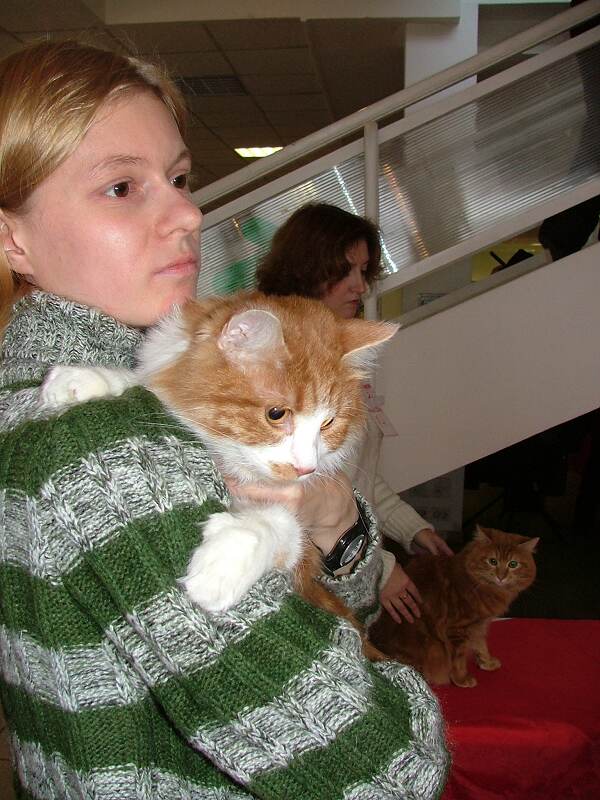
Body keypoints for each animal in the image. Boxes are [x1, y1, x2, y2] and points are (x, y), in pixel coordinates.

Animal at [41, 291, 397, 649]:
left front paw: (224, 564)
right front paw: (88, 379)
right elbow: (146, 382)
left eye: (328, 423)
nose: (306, 468)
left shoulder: (304, 555)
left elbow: (276, 522)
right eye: (276, 414)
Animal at [369, 526, 539, 686]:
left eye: (513, 564)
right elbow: (459, 659)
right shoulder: (457, 628)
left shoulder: (478, 625)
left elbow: (481, 646)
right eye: (493, 561)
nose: (501, 577)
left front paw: (487, 662)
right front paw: (461, 679)